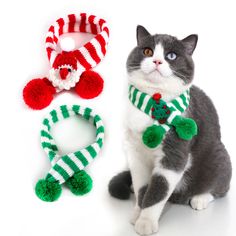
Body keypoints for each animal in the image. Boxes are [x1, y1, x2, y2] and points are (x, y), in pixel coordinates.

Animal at [109, 24, 232, 235]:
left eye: (171, 56)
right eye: (147, 51)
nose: (157, 60)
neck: (153, 100)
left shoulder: (174, 154)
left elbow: (159, 188)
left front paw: (146, 221)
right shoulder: (134, 152)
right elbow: (142, 185)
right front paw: (138, 210)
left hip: (220, 155)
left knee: (220, 186)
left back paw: (201, 197)